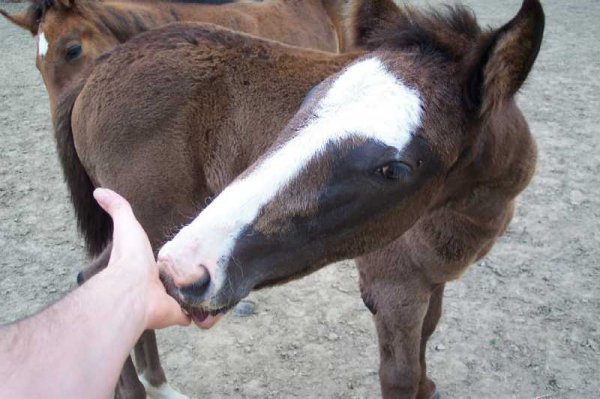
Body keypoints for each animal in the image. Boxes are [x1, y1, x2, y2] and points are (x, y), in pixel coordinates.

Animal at [58, 0, 548, 398]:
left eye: (394, 169)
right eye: (309, 98)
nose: (186, 269)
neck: (467, 211)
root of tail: (99, 67)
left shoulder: (432, 278)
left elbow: (429, 334)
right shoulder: (394, 288)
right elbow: (399, 375)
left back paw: (158, 382)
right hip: (153, 222)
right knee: (96, 280)